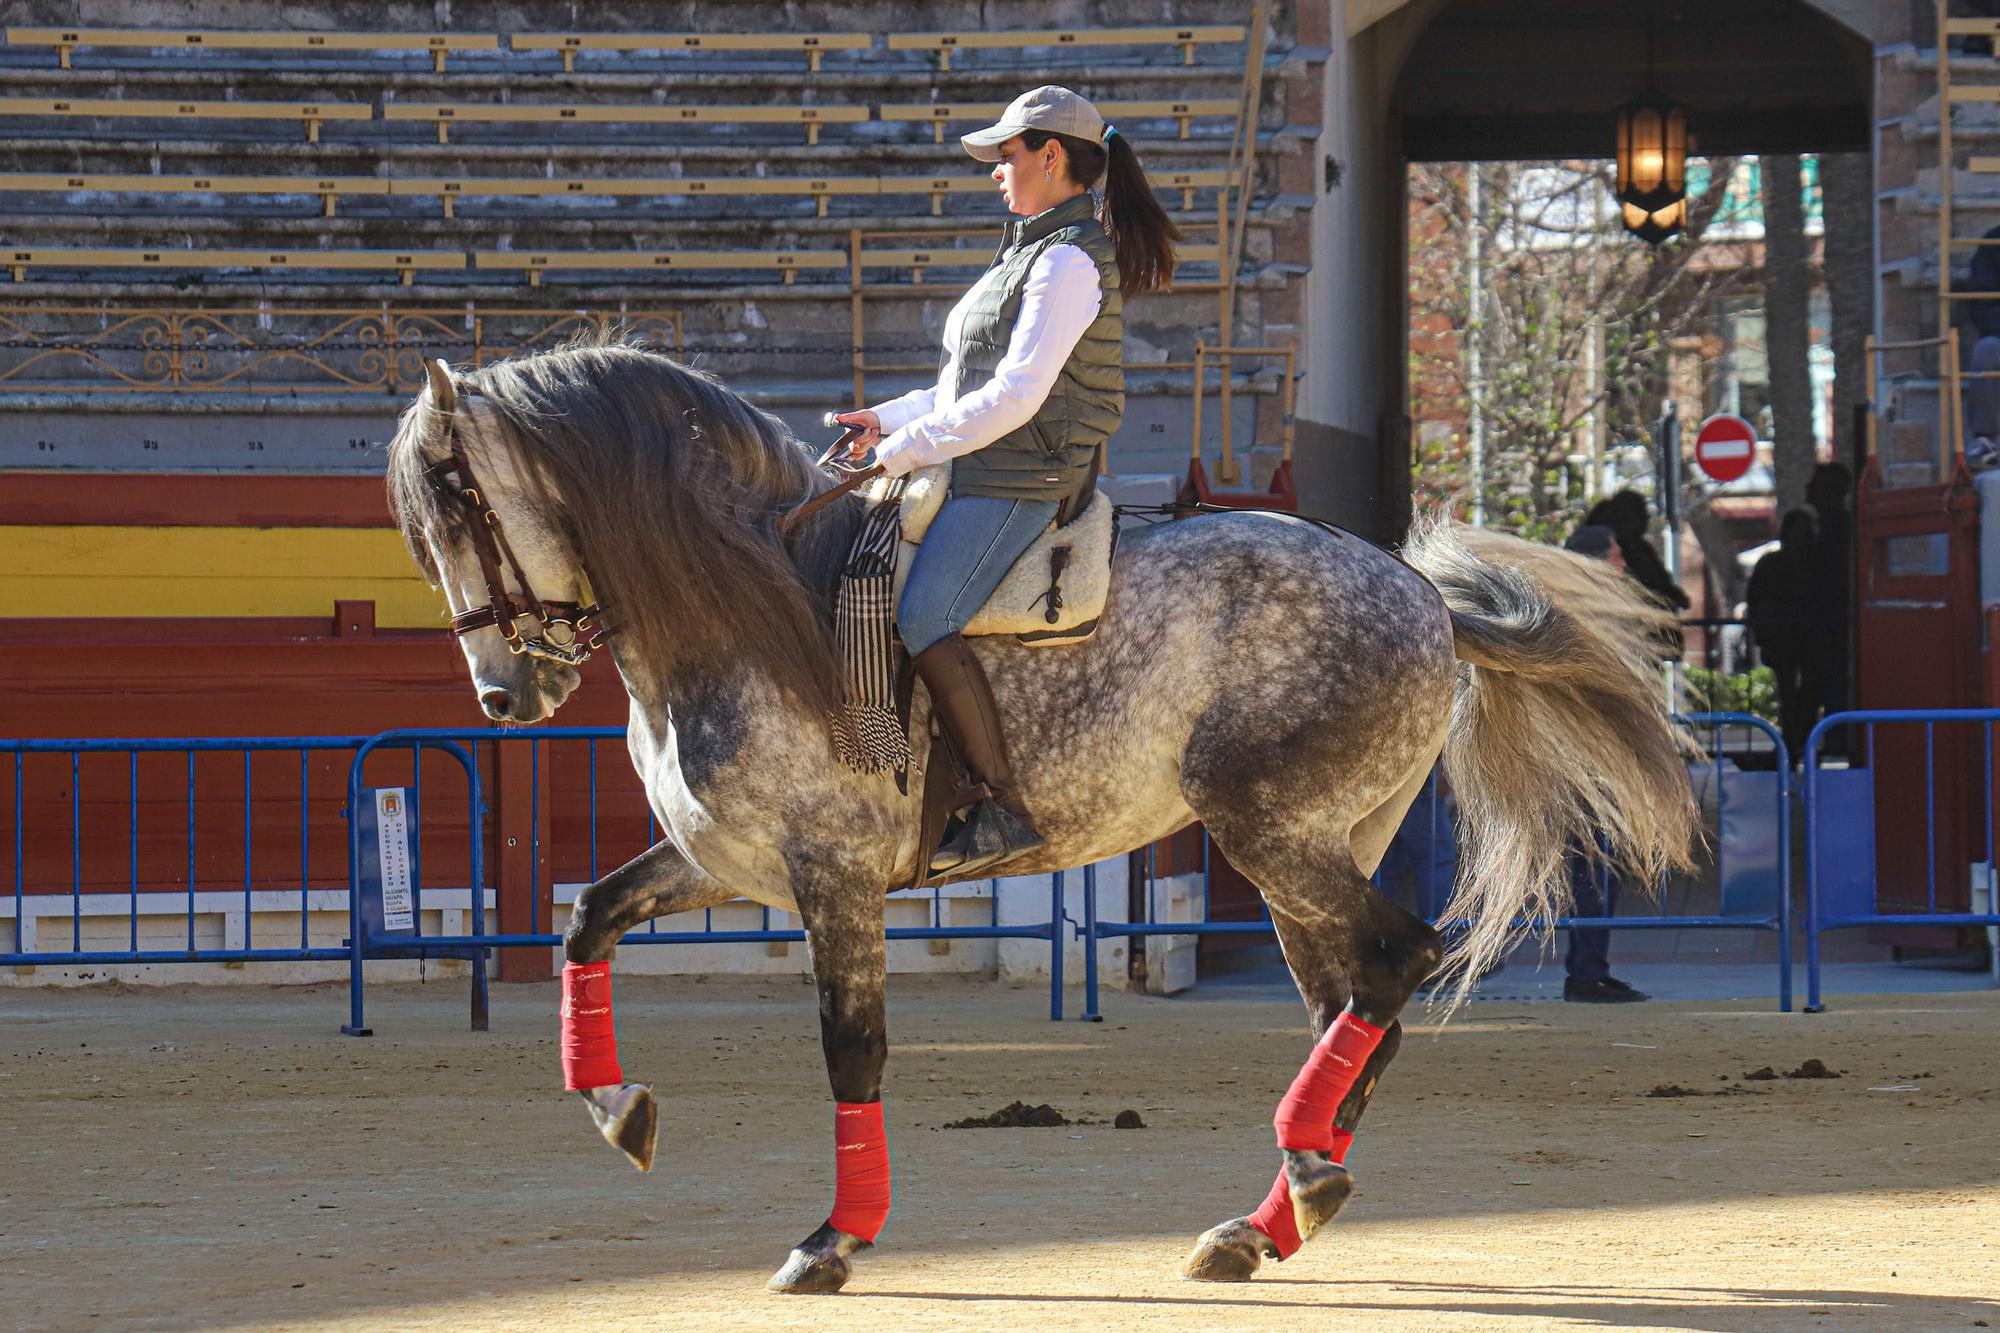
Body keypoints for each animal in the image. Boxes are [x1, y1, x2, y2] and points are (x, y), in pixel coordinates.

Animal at [382, 340, 1696, 1288]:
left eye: (455, 501)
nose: (504, 696)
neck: (748, 608)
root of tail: (1414, 585)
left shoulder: (833, 877)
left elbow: (851, 1045)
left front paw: (833, 1238)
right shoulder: (728, 862)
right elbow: (586, 918)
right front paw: (620, 1111)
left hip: (1267, 830)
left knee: (1400, 957)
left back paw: (1293, 1185)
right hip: (1310, 852)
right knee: (1352, 999)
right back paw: (1277, 1211)